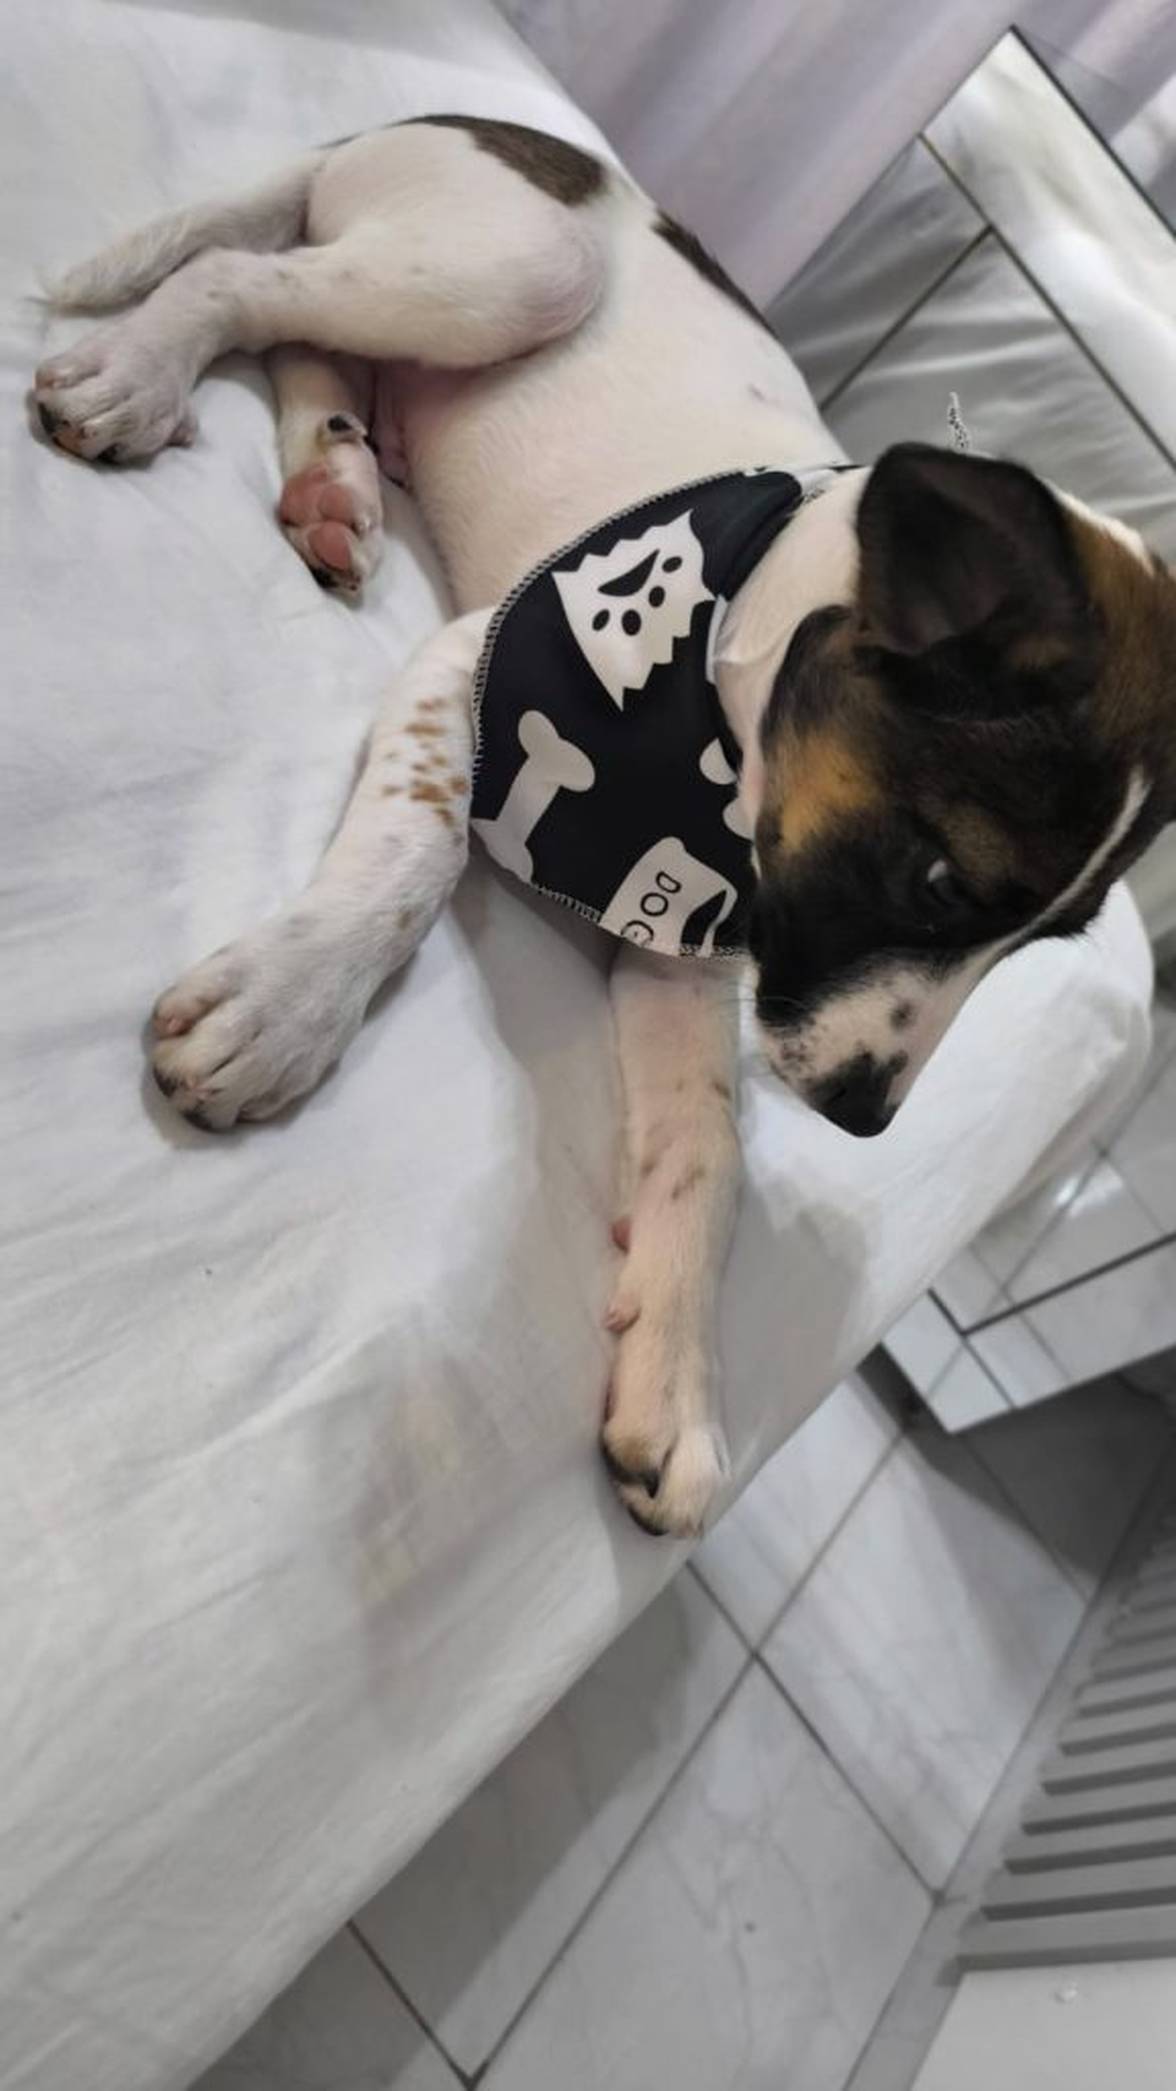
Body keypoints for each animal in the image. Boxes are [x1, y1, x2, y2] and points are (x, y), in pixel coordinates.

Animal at [32, 115, 1176, 1537]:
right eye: (939, 880)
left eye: (1040, 950)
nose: (861, 1120)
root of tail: (447, 127)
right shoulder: (473, 666)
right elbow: (416, 854)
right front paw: (289, 1003)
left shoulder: (686, 935)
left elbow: (711, 1153)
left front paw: (676, 1376)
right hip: (522, 266)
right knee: (245, 274)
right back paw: (143, 370)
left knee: (306, 331)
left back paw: (335, 484)